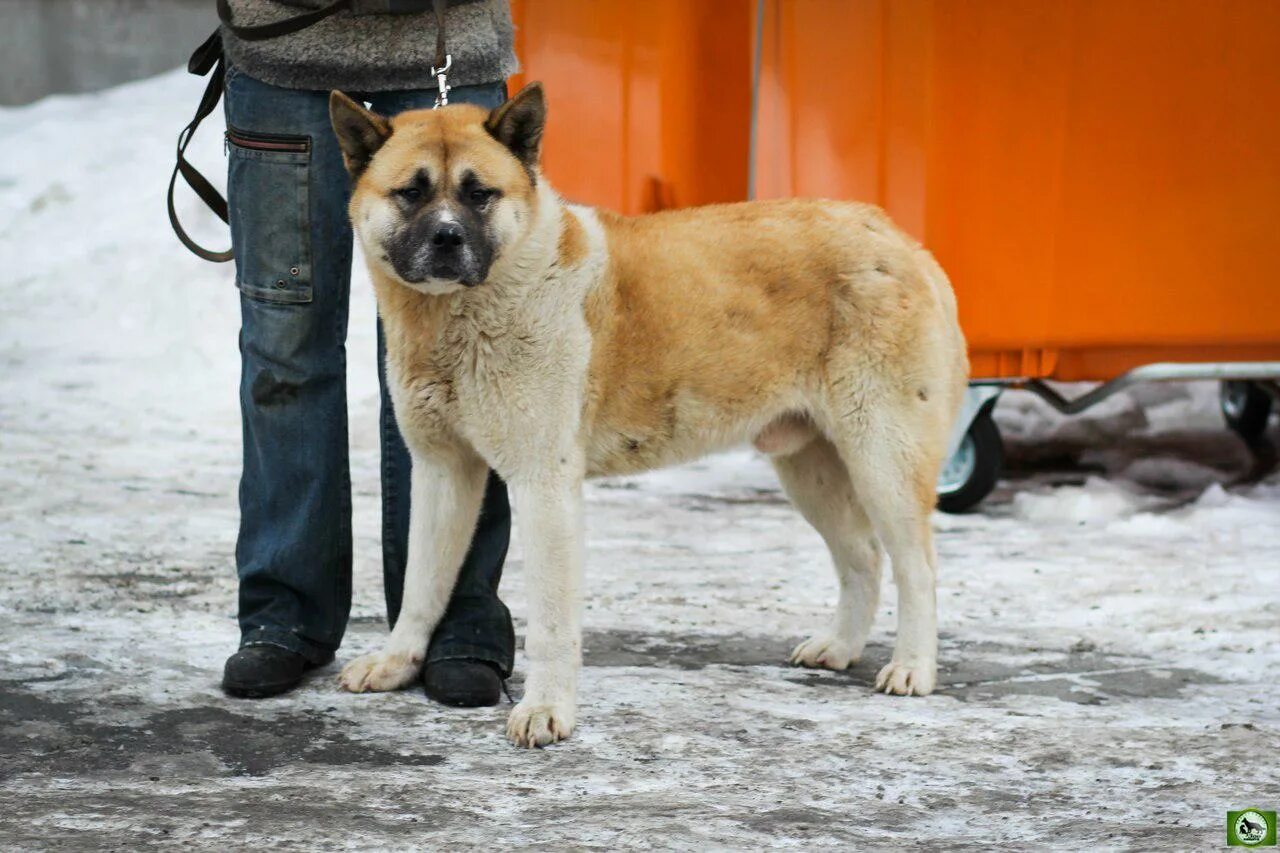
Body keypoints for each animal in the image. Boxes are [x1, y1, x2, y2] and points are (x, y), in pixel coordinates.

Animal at [325, 81, 962, 742]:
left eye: (480, 194)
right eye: (411, 192)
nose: (447, 238)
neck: (471, 311)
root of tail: (899, 240)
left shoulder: (545, 485)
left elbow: (550, 620)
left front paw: (547, 710)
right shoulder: (443, 471)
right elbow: (421, 583)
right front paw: (396, 663)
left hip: (882, 461)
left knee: (918, 568)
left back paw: (912, 668)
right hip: (809, 468)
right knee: (863, 558)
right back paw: (839, 646)